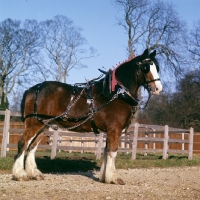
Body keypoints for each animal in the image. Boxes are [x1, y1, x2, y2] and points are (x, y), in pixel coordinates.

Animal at [12, 48, 162, 184]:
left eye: (157, 68)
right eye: (146, 67)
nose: (158, 89)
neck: (116, 94)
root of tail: (32, 89)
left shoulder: (110, 131)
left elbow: (106, 152)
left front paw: (104, 176)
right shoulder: (115, 129)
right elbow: (112, 152)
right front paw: (114, 177)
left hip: (43, 126)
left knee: (32, 147)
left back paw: (34, 173)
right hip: (34, 124)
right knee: (23, 143)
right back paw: (20, 174)